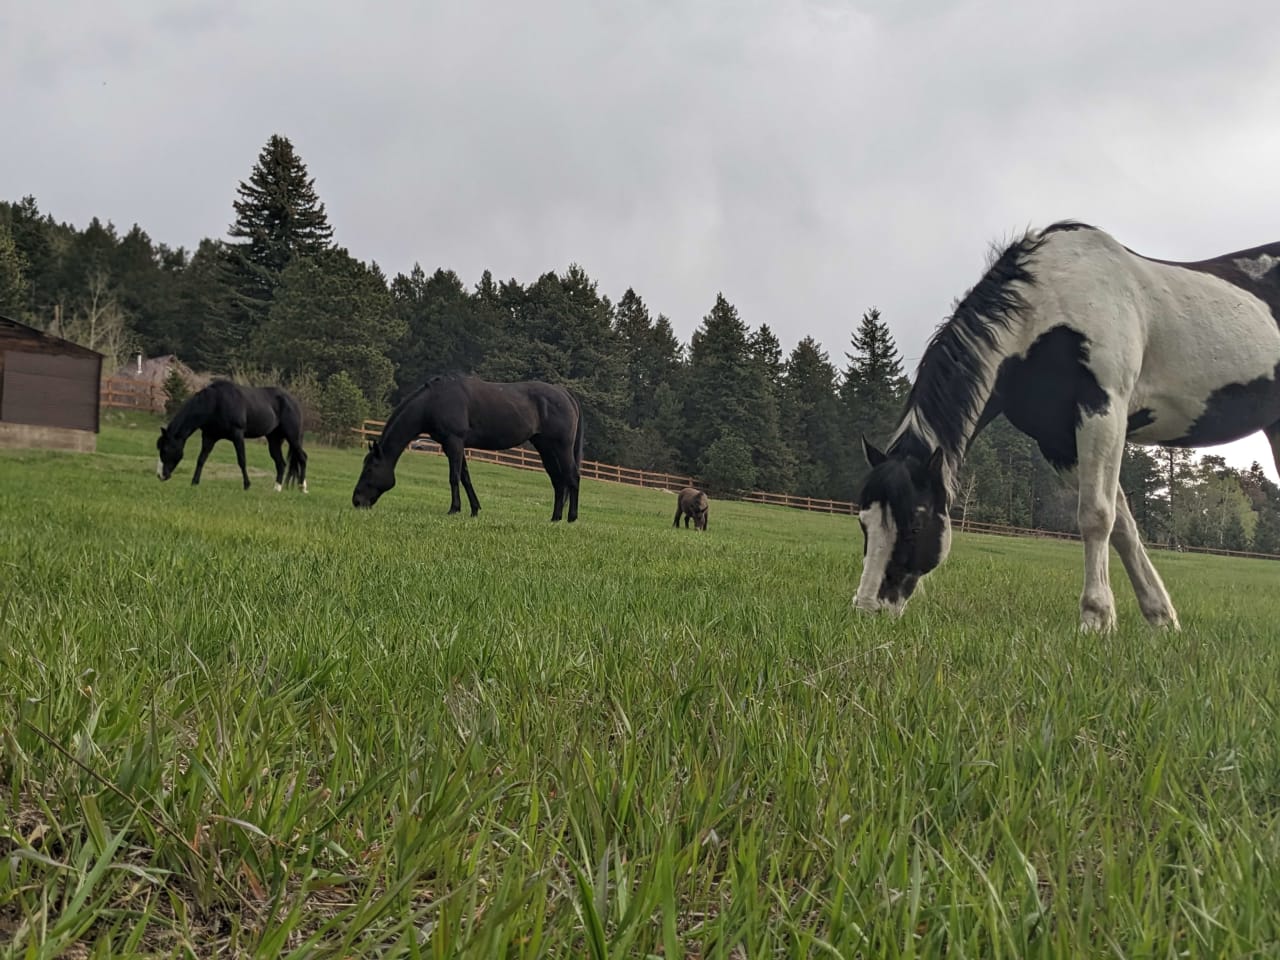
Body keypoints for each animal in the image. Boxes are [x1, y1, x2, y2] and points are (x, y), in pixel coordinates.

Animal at [156, 378, 308, 491]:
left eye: (166, 450)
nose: (160, 475)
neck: (215, 402)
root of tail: (294, 401)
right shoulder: (209, 437)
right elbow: (201, 459)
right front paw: (194, 482)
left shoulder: (237, 435)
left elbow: (242, 460)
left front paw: (247, 485)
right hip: (274, 439)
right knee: (281, 463)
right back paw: (277, 488)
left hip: (293, 437)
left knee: (302, 457)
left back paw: (302, 487)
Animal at [355, 376, 586, 527]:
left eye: (369, 470)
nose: (356, 501)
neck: (433, 402)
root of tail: (565, 393)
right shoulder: (454, 445)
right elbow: (465, 478)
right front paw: (474, 509)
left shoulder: (454, 442)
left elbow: (454, 477)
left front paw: (454, 509)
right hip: (545, 446)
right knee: (558, 481)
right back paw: (555, 517)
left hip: (561, 446)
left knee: (572, 477)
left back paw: (572, 517)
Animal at [855, 222, 1280, 634]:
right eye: (863, 523)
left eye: (915, 523)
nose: (867, 610)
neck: (1051, 303)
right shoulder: (1059, 443)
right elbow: (1123, 526)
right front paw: (1161, 619)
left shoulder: (1102, 412)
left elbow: (1096, 516)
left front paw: (1096, 618)